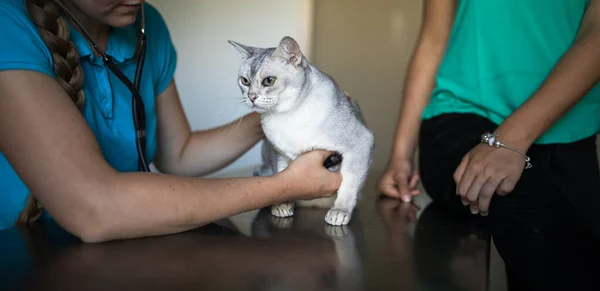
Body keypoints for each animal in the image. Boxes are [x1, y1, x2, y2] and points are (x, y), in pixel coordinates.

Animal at [227, 36, 372, 227]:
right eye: (244, 81)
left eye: (269, 80)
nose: (251, 97)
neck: (289, 116)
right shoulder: (279, 152)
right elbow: (282, 176)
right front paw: (283, 204)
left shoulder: (362, 142)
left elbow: (348, 184)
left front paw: (340, 211)